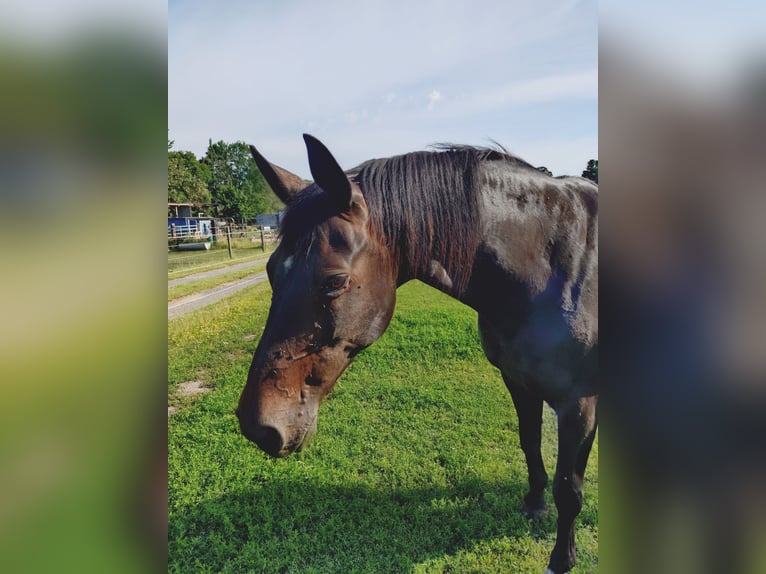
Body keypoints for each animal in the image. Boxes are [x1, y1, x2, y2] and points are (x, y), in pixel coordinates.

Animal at [236, 134, 598, 574]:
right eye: (270, 269)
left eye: (334, 281)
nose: (258, 427)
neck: (555, 270)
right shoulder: (519, 382)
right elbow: (529, 444)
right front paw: (533, 505)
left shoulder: (578, 403)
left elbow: (569, 488)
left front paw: (562, 558)